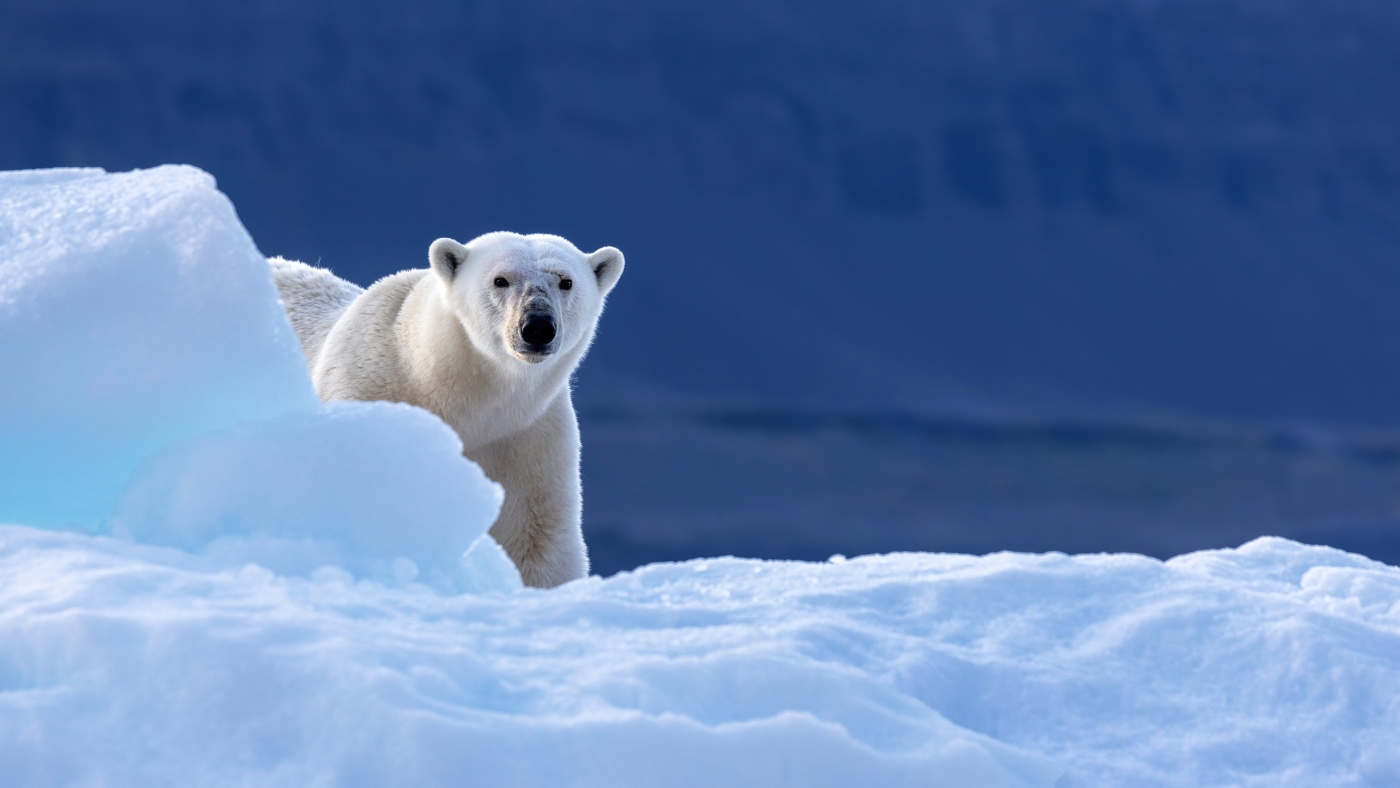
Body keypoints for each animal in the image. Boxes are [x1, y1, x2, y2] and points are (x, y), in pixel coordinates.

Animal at [270, 231, 624, 588]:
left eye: (566, 281)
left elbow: (537, 541)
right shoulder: (369, 399)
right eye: (500, 280)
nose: (537, 326)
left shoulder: (528, 441)